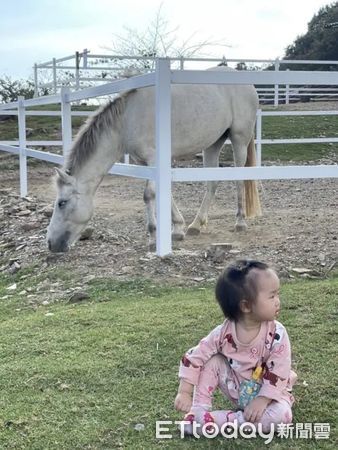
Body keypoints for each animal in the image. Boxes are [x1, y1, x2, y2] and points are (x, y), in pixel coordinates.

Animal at [46, 66, 262, 253]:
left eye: (62, 203)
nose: (50, 243)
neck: (127, 120)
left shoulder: (153, 159)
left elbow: (148, 195)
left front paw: (152, 238)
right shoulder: (147, 163)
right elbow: (164, 193)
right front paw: (178, 228)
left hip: (239, 139)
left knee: (239, 179)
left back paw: (240, 222)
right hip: (213, 144)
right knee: (212, 183)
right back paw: (196, 225)